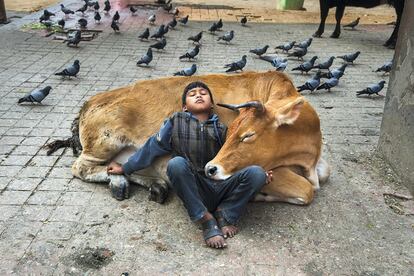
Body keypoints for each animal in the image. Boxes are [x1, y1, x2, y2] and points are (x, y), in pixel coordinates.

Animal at [45, 70, 330, 205]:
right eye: (235, 131)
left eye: (248, 135)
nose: (212, 168)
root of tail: (92, 100)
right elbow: (307, 190)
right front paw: (261, 195)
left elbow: (325, 175)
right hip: (105, 140)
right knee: (81, 167)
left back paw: (152, 184)